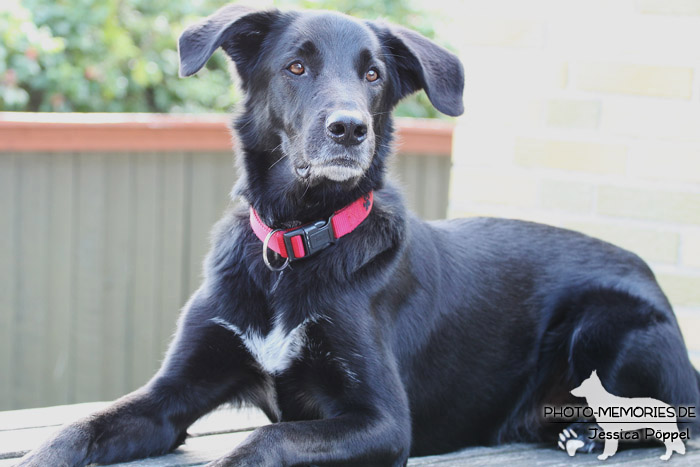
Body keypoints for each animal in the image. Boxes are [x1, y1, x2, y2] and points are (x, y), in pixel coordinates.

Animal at [19, 4, 696, 467]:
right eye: (295, 66)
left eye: (372, 76)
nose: (349, 129)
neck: (293, 245)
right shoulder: (172, 394)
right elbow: (78, 429)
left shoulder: (383, 423)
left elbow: (264, 438)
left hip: (612, 328)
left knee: (679, 419)